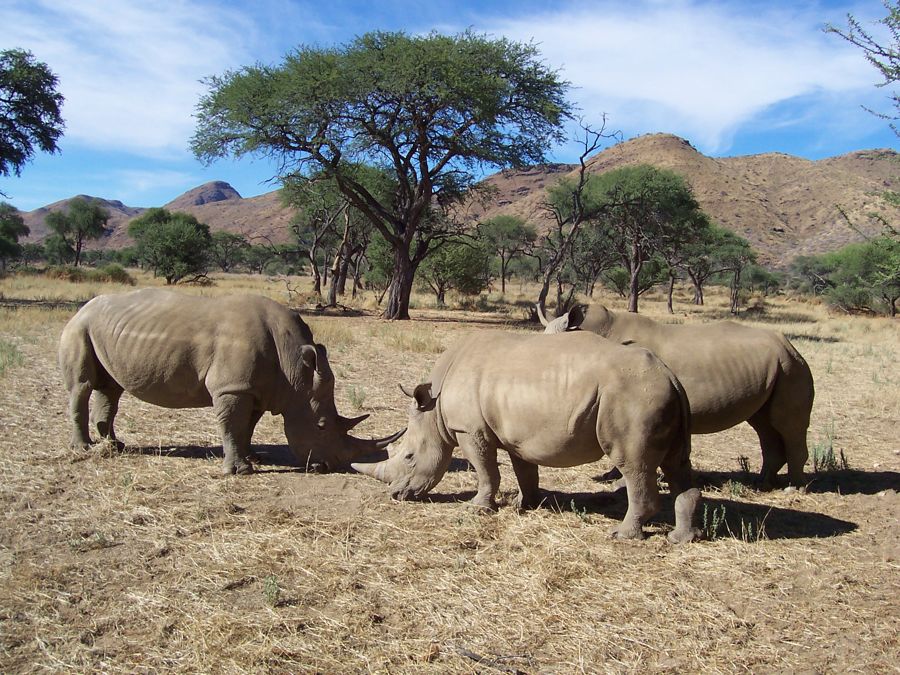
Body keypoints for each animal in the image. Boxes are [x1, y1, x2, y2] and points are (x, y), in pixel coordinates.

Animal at [59, 289, 402, 474]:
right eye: (320, 426)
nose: (329, 465)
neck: (294, 366)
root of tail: (82, 308)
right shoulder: (232, 387)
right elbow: (231, 424)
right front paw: (240, 471)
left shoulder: (259, 389)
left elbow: (246, 425)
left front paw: (252, 457)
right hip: (78, 328)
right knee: (83, 386)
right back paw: (84, 449)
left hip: (100, 330)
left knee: (111, 388)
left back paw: (114, 446)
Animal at [353, 331, 702, 543]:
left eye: (409, 457)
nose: (395, 495)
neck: (435, 408)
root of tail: (669, 375)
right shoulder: (515, 434)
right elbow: (524, 470)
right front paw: (525, 504)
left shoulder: (471, 430)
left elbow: (485, 470)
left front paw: (478, 508)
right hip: (657, 396)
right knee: (676, 464)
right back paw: (681, 538)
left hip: (634, 398)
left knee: (633, 465)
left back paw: (622, 535)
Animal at [538, 303, 815, 488]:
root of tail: (790, 345)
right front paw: (611, 477)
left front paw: (617, 479)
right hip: (777, 366)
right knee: (764, 424)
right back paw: (763, 484)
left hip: (790, 365)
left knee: (787, 426)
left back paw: (794, 488)